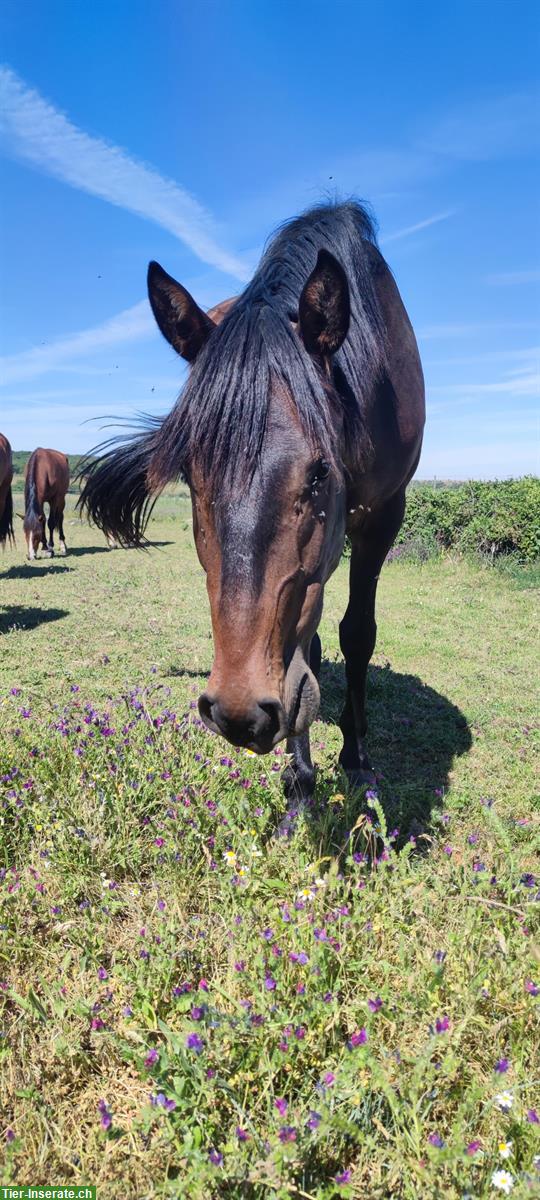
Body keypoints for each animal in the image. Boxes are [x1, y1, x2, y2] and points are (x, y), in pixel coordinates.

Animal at [79, 204, 427, 825]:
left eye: (319, 472)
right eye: (189, 474)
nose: (240, 712)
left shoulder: (384, 516)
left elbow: (357, 635)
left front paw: (356, 757)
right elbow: (306, 649)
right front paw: (300, 787)